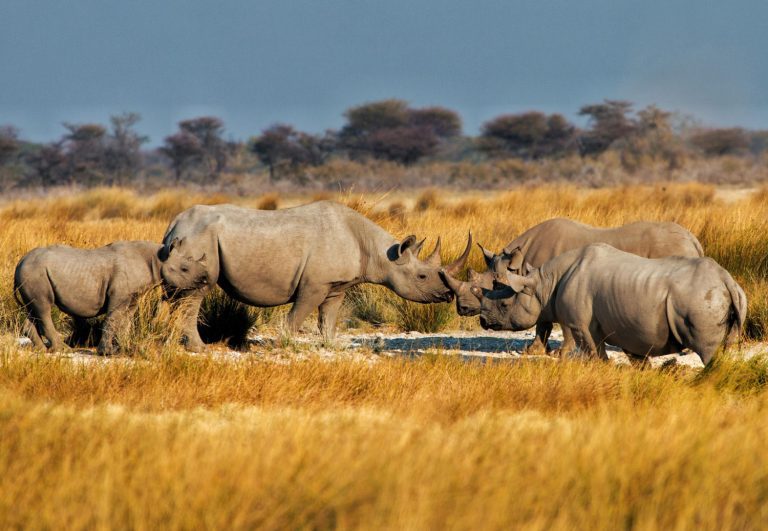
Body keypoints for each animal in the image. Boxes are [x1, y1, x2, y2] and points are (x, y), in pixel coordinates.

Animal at [14, 241, 169, 355]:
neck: (155, 258)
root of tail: (20, 262)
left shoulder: (132, 296)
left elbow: (125, 321)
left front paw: (126, 348)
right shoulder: (119, 294)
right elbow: (113, 318)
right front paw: (108, 352)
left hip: (31, 273)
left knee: (34, 309)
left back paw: (42, 350)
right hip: (34, 273)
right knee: (44, 308)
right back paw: (63, 349)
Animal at [160, 201, 471, 351]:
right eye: (422, 277)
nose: (446, 295)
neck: (381, 253)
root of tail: (174, 222)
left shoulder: (336, 286)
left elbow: (328, 319)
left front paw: (331, 345)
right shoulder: (314, 284)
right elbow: (297, 317)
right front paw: (281, 346)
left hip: (186, 242)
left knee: (179, 294)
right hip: (199, 239)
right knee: (196, 294)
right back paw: (200, 349)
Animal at [441, 218, 704, 352]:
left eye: (494, 285)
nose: (462, 308)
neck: (519, 261)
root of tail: (694, 240)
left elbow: (555, 322)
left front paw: (559, 353)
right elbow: (543, 322)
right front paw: (534, 351)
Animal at [471, 243, 746, 366]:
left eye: (505, 305)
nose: (483, 321)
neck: (543, 283)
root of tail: (727, 280)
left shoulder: (579, 325)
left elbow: (595, 355)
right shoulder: (630, 327)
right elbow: (636, 359)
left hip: (700, 299)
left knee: (708, 351)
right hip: (730, 297)